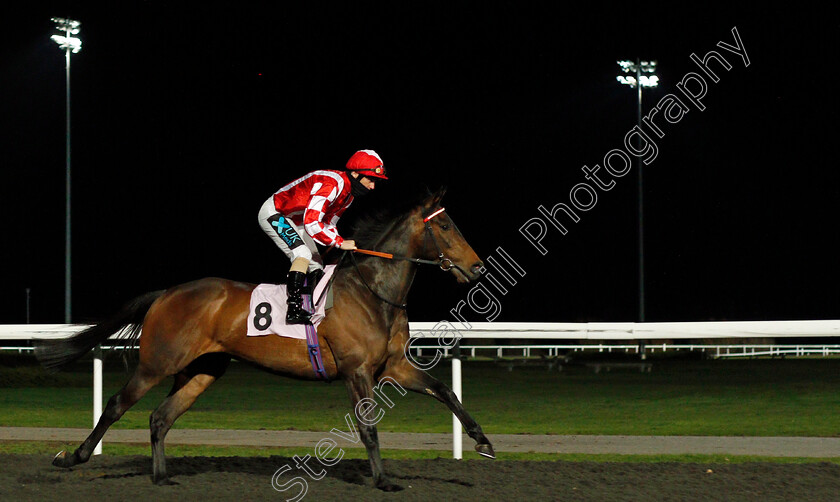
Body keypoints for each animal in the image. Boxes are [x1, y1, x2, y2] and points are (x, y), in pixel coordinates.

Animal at [36, 188, 496, 490]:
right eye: (445, 225)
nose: (477, 268)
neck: (373, 291)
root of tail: (167, 293)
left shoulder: (393, 367)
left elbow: (445, 391)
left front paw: (484, 442)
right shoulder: (357, 371)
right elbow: (368, 427)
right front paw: (383, 480)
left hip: (203, 370)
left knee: (160, 417)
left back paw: (162, 476)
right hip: (157, 362)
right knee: (117, 404)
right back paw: (72, 457)